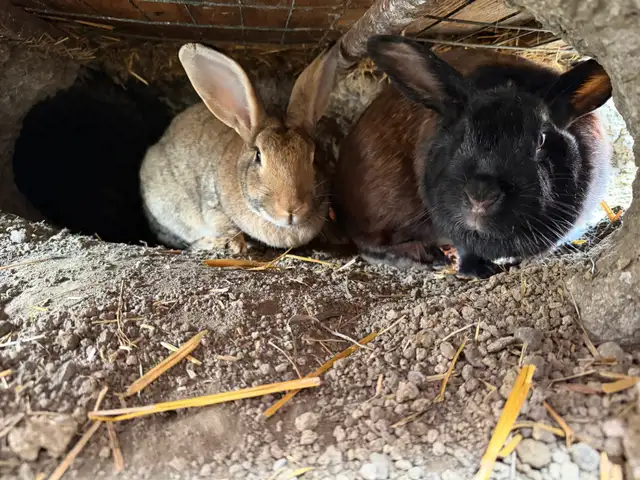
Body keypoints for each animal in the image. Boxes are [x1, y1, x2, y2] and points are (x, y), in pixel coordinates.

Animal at [140, 42, 338, 253]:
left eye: (313, 155)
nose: (291, 208)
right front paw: (234, 245)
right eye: (258, 155)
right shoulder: (214, 205)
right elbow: (224, 224)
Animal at [333, 35, 613, 278]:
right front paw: (478, 271)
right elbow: (467, 249)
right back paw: (430, 258)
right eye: (460, 132)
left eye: (541, 140)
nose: (481, 195)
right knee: (370, 245)